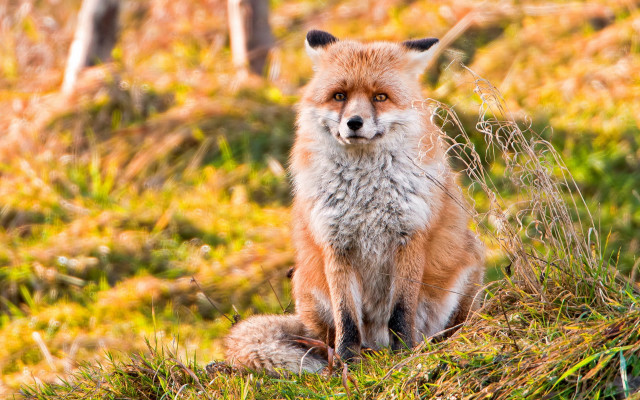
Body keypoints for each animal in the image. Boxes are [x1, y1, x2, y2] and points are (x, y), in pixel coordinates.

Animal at [224, 30, 485, 375]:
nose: (355, 123)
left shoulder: (410, 235)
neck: (365, 195)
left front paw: (405, 354)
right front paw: (348, 362)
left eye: (380, 97)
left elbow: (401, 312)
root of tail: (376, 344)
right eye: (339, 96)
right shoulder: (336, 242)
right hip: (308, 288)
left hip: (468, 266)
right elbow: (347, 318)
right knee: (326, 337)